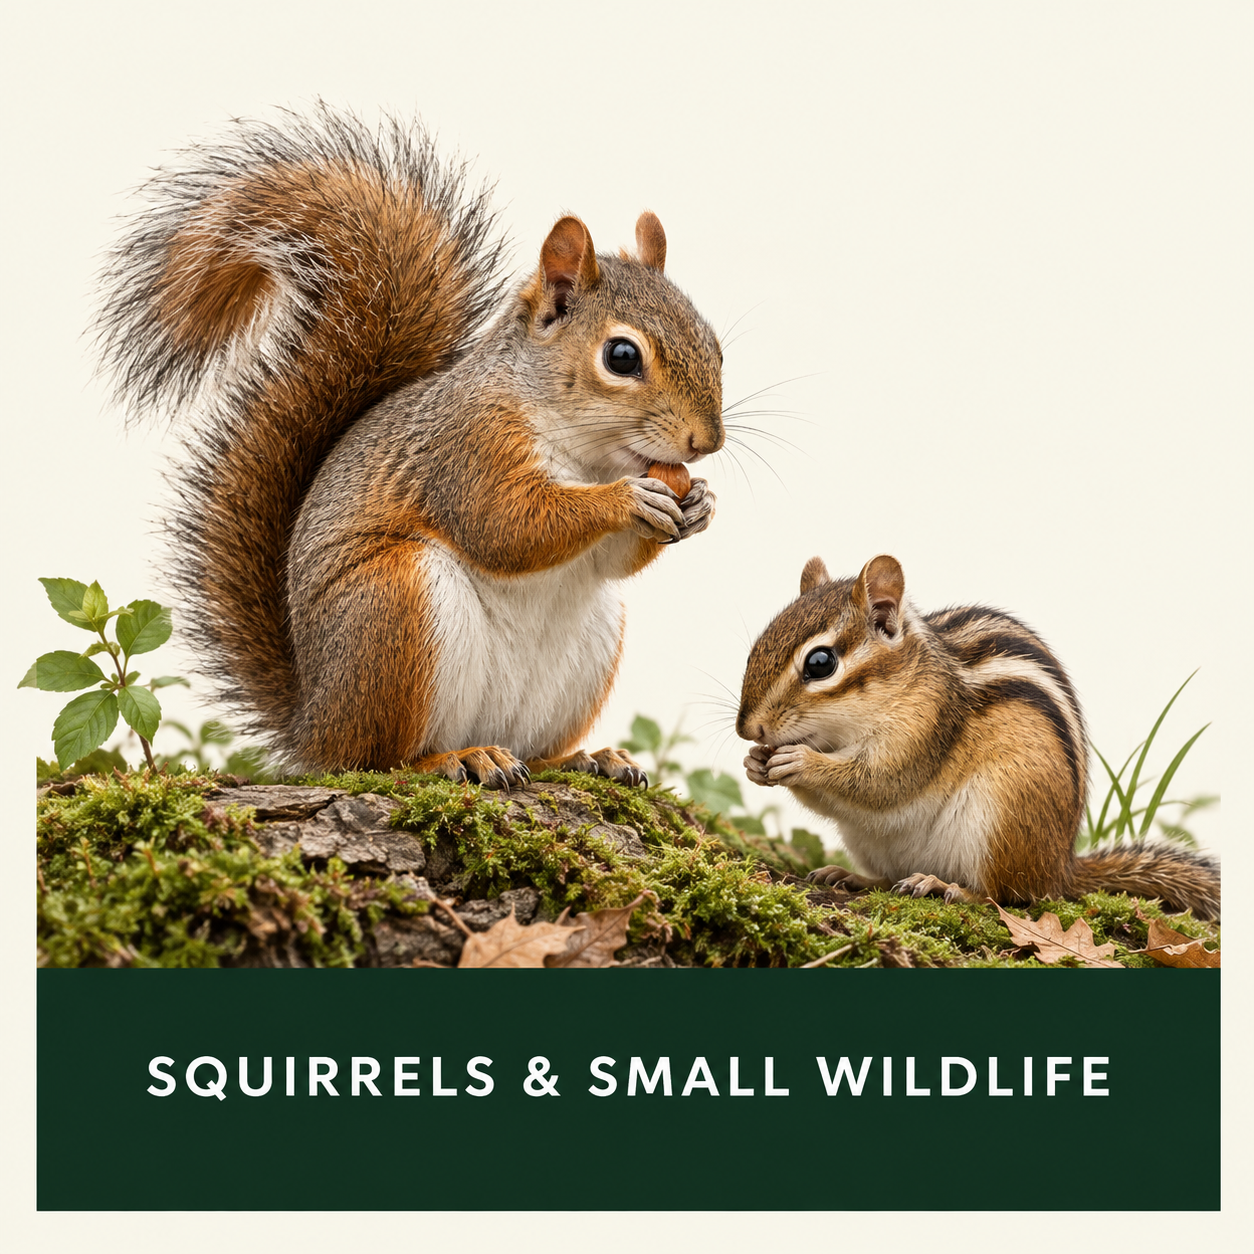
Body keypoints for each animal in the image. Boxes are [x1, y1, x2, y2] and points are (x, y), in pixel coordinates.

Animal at [96, 105, 724, 785]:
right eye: (622, 356)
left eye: (713, 342)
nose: (707, 442)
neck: (585, 451)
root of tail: (313, 725)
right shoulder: (467, 446)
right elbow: (504, 526)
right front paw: (626, 499)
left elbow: (608, 561)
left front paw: (700, 505)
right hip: (393, 609)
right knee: (378, 760)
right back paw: (456, 758)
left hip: (585, 649)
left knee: (533, 748)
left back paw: (588, 757)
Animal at [737, 554, 1220, 920]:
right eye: (755, 648)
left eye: (820, 663)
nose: (747, 729)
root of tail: (1060, 868)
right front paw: (755, 763)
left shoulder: (924, 731)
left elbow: (880, 784)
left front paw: (800, 762)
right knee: (890, 877)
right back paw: (852, 876)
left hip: (1001, 816)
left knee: (1006, 895)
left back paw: (945, 886)